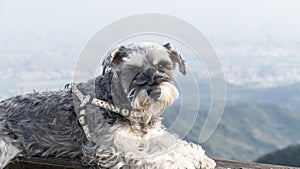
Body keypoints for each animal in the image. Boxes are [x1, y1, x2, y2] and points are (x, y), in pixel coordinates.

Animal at [0, 42, 216, 169]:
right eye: (132, 69)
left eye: (163, 66)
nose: (154, 92)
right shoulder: (114, 148)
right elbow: (153, 158)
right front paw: (182, 162)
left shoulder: (148, 136)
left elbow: (172, 142)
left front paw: (198, 157)